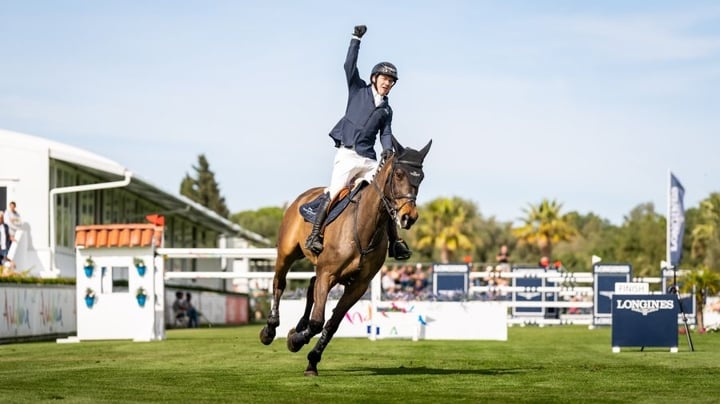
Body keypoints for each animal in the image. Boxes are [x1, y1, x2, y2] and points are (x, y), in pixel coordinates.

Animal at [258, 136, 430, 376]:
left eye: (421, 177)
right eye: (398, 174)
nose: (409, 217)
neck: (364, 225)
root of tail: (305, 195)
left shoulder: (357, 285)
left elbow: (331, 324)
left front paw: (311, 358)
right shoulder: (328, 274)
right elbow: (318, 322)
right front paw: (295, 341)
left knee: (310, 286)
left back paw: (298, 326)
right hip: (286, 254)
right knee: (279, 284)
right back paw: (270, 329)